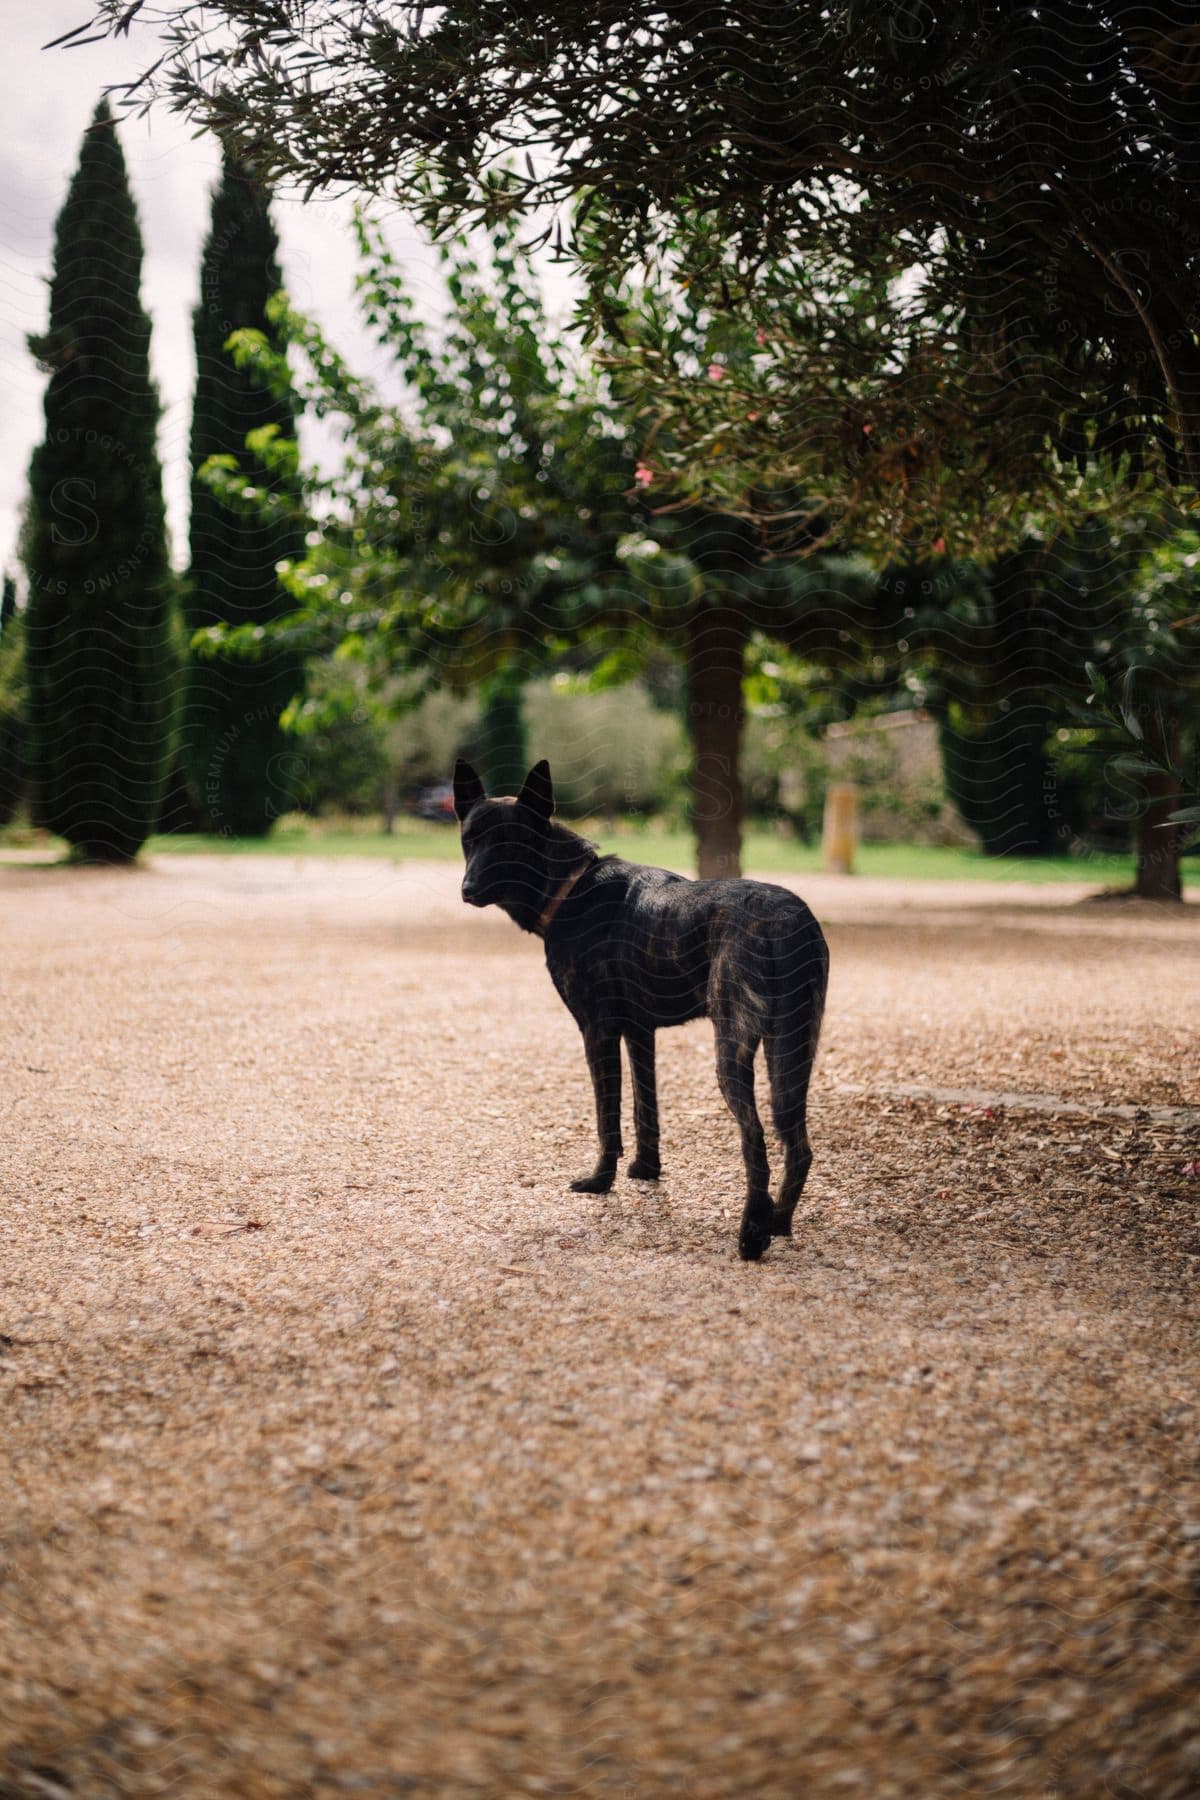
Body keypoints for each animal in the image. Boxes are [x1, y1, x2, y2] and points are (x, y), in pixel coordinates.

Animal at [455, 759, 831, 1267]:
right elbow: (644, 1107)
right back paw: (780, 1223)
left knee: (755, 1138)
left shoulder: (597, 1031)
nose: (467, 889)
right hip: (792, 1053)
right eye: (469, 839)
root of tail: (788, 923)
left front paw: (600, 1181)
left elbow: (607, 1116)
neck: (571, 888)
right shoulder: (640, 1033)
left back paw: (752, 1236)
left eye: (509, 841)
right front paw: (646, 1170)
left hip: (734, 1050)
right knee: (799, 1144)